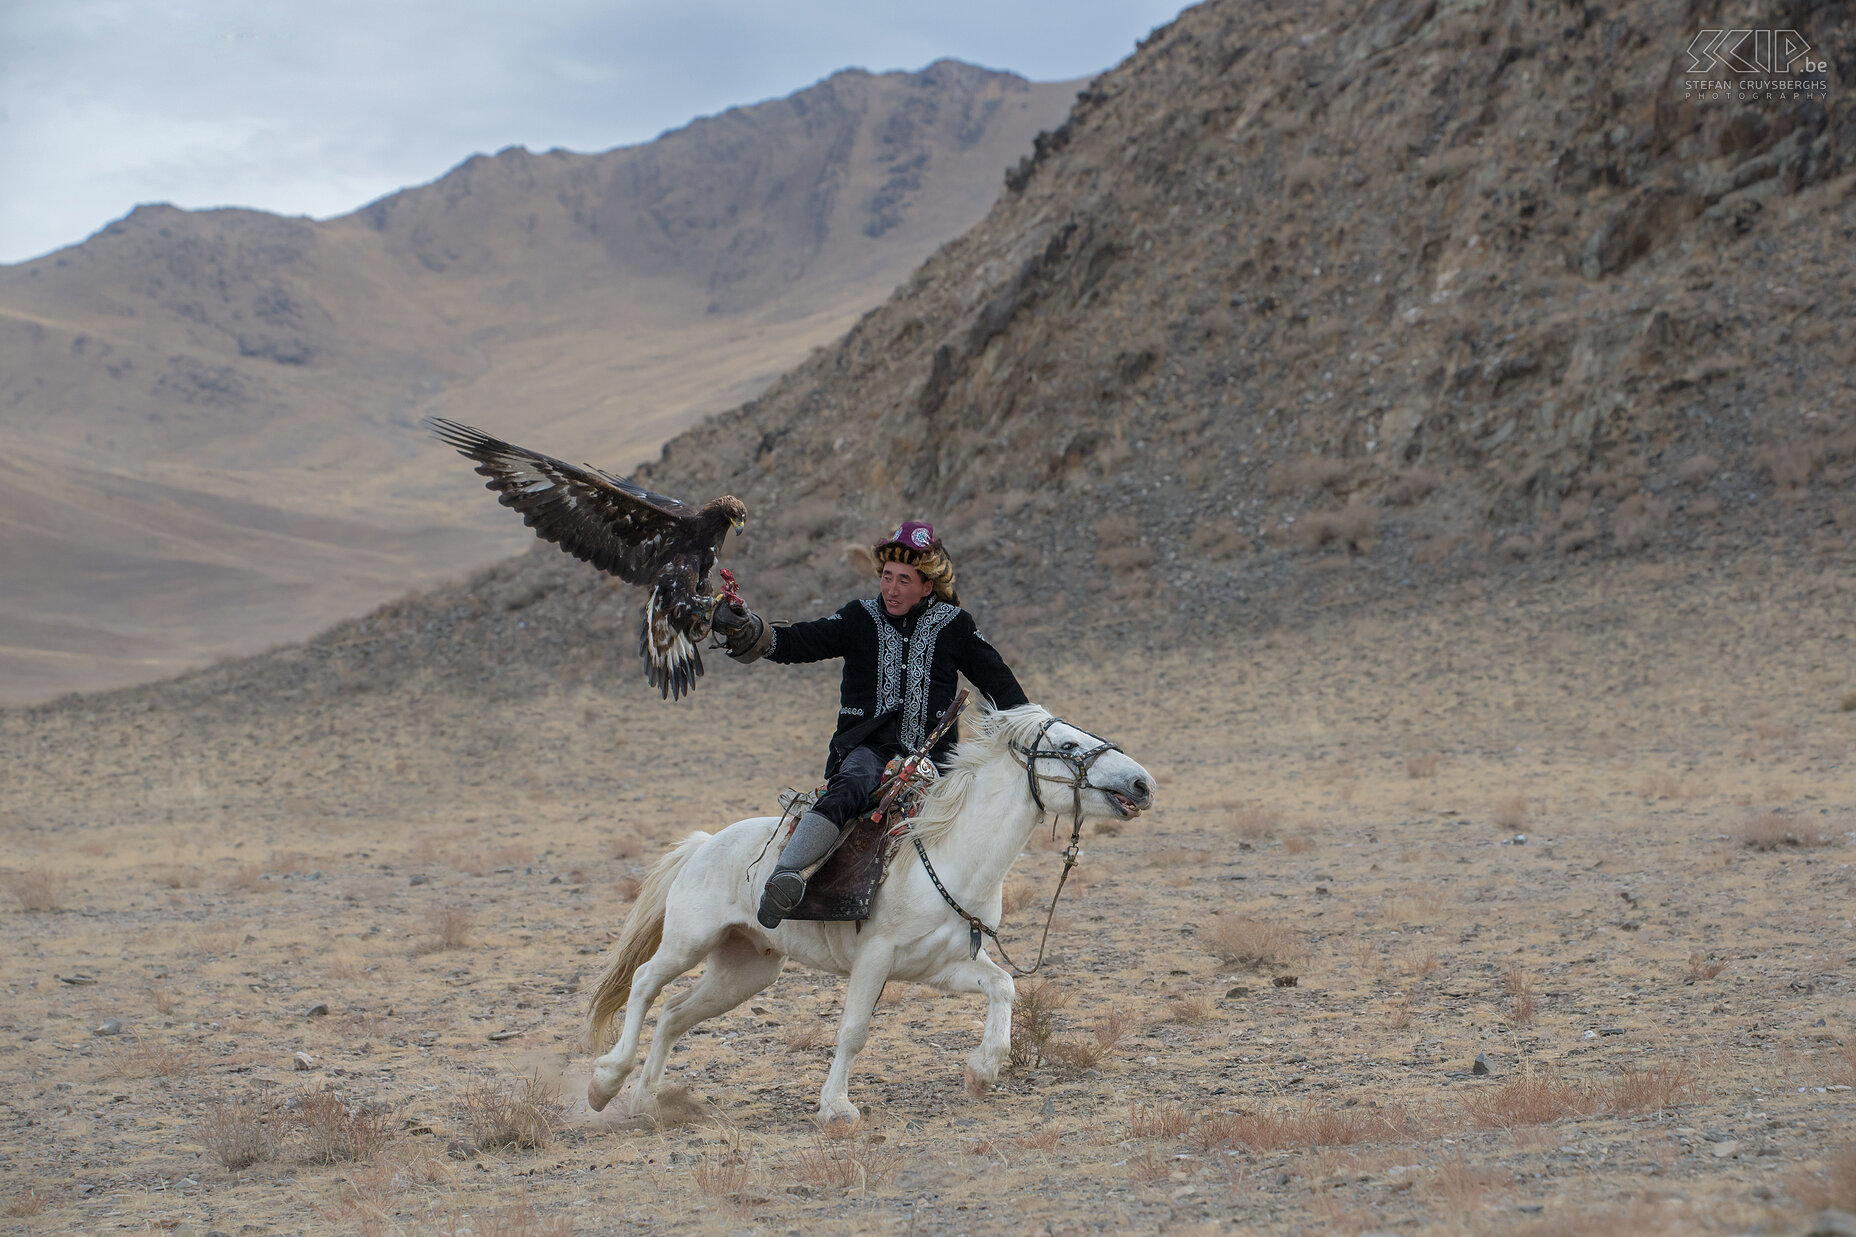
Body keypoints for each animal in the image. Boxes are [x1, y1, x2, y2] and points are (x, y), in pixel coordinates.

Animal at [586, 698, 1150, 1121]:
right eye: (1068, 745)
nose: (1142, 784)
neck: (947, 856)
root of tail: (704, 844)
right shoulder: (874, 959)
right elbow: (854, 1030)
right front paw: (836, 1107)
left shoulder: (941, 966)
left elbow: (1003, 987)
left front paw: (982, 1071)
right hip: (689, 942)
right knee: (645, 983)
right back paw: (604, 1083)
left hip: (745, 970)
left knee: (676, 1015)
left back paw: (645, 1103)